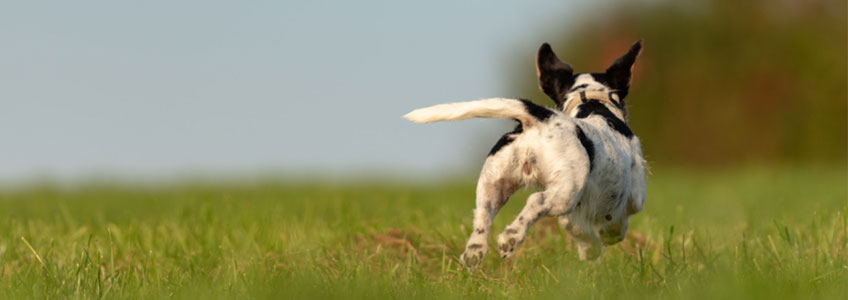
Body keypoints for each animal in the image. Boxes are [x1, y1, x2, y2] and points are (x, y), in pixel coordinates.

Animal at [400, 40, 644, 268]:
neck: (592, 103)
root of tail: (539, 118)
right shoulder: (632, 197)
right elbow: (617, 222)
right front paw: (604, 240)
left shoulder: (574, 215)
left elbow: (578, 230)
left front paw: (590, 250)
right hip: (565, 190)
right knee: (536, 201)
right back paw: (510, 237)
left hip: (494, 181)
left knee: (483, 213)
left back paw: (475, 251)